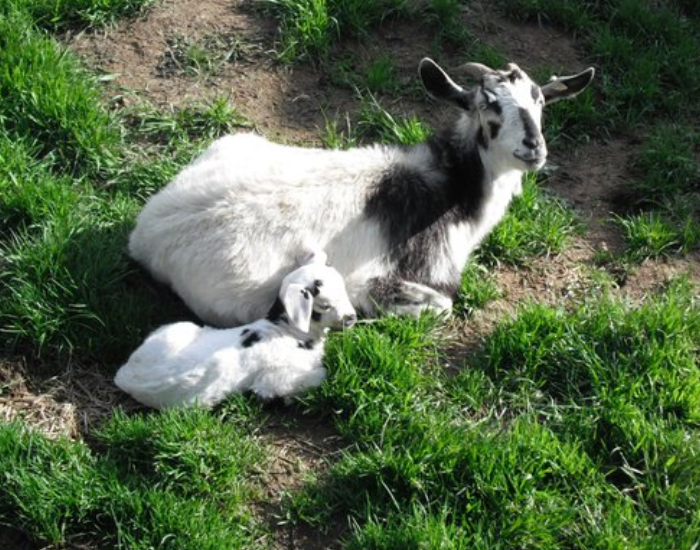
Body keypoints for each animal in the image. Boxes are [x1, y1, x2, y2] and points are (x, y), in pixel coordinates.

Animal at [114, 251, 356, 410]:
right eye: (324, 305)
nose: (352, 318)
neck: (287, 330)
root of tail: (124, 376)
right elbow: (319, 374)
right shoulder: (275, 379)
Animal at [128, 58, 594, 325]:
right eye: (489, 105)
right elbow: (439, 308)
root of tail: (145, 233)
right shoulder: (375, 281)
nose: (533, 147)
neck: (450, 191)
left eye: (539, 102)